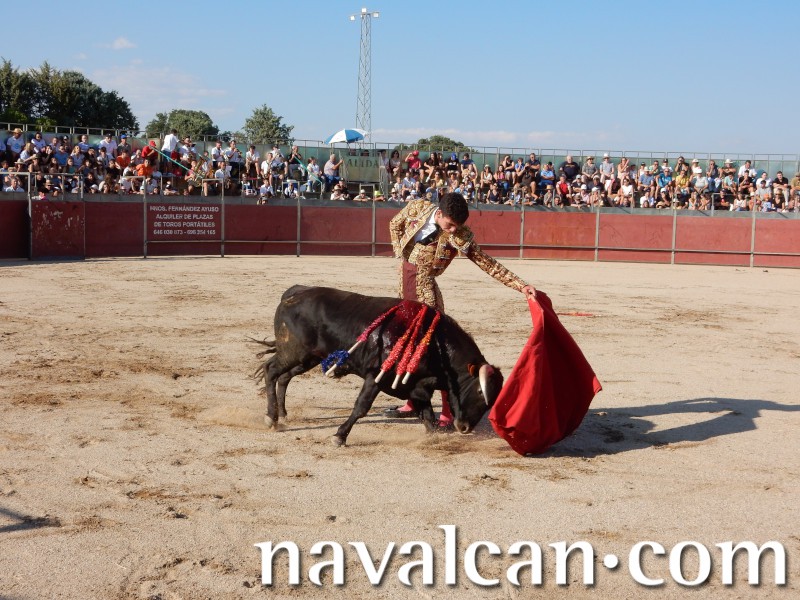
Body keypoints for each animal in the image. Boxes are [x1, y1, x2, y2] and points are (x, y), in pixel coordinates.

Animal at [254, 285, 504, 446]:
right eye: (480, 391)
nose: (465, 428)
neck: (434, 342)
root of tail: (293, 294)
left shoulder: (418, 386)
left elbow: (428, 416)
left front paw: (434, 438)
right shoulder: (376, 377)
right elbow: (361, 407)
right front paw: (340, 436)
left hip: (308, 358)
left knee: (284, 377)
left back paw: (282, 415)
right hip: (293, 352)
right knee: (271, 371)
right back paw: (270, 418)